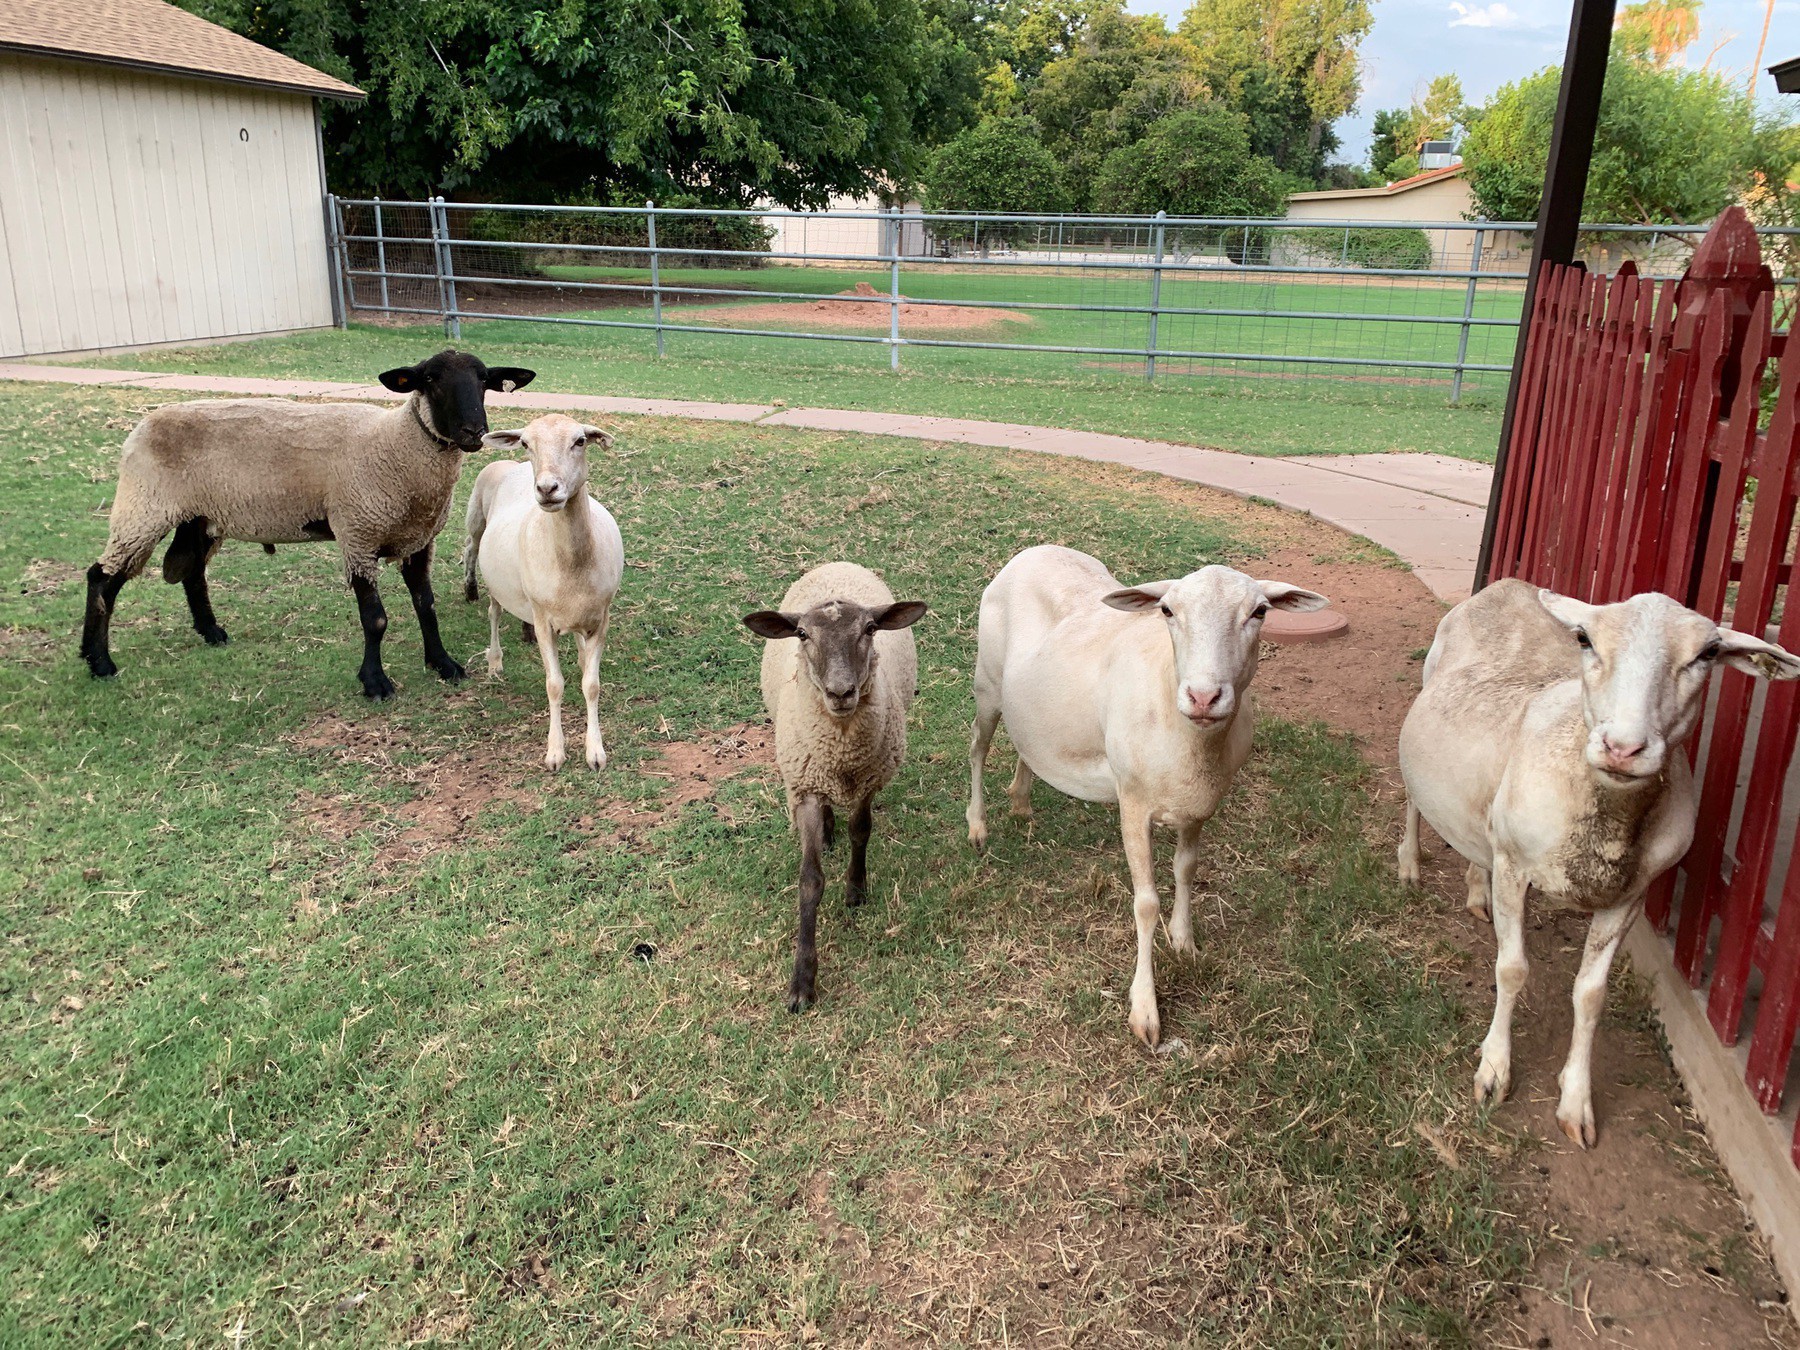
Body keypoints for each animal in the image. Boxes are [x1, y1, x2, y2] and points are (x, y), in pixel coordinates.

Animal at [82, 349, 532, 698]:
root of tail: (142, 425)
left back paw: (211, 632)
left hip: (200, 516)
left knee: (191, 573)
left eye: (484, 380)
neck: (396, 445)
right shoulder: (356, 534)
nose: (474, 431)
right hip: (144, 506)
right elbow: (376, 620)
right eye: (431, 380)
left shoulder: (418, 539)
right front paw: (375, 683)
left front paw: (443, 664)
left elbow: (427, 606)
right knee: (102, 578)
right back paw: (99, 662)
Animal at [464, 412, 626, 770]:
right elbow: (554, 685)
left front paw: (595, 752)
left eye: (580, 441)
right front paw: (555, 752)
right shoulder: (541, 621)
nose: (547, 489)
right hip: (488, 560)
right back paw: (494, 663)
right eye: (526, 443)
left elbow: (591, 685)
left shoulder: (601, 617)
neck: (572, 563)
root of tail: (511, 467)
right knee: (494, 612)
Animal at [738, 561, 928, 1015]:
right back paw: (826, 831)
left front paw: (855, 890)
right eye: (803, 635)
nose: (841, 692)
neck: (840, 750)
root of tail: (837, 564)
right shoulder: (804, 786)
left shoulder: (870, 778)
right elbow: (810, 881)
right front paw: (802, 982)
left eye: (871, 629)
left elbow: (861, 831)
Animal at [1404, 583, 1800, 1152]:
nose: (1623, 747)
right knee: (1414, 801)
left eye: (1707, 654)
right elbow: (1511, 969)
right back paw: (1410, 863)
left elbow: (1591, 996)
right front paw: (1495, 1071)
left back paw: (1476, 892)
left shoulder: (1629, 896)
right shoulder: (1514, 862)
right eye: (1585, 639)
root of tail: (1505, 586)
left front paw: (1576, 1101)